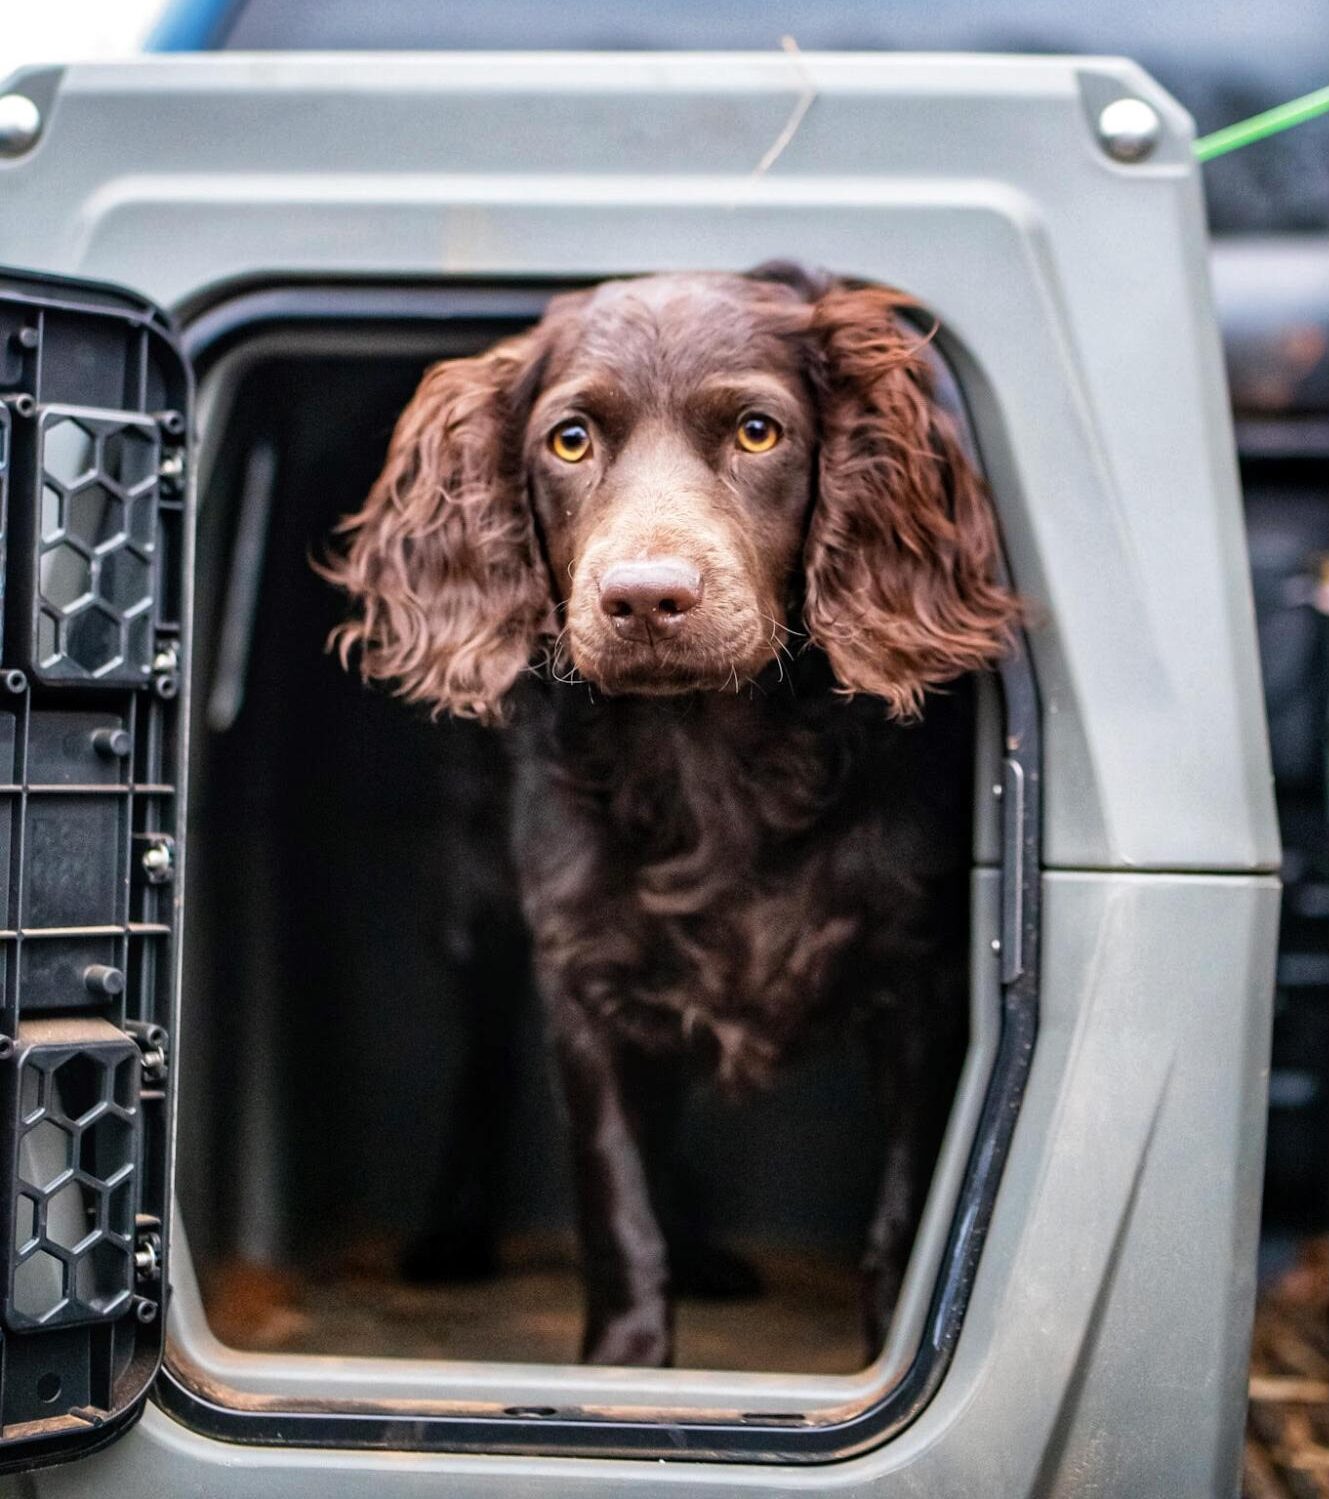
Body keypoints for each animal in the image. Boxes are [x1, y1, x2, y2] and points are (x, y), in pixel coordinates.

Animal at [325, 263, 1018, 1367]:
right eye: (569, 440)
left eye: (758, 431)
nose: (646, 599)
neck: (708, 752)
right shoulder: (586, 977)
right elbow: (617, 1194)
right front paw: (624, 1365)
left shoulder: (922, 983)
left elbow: (904, 1207)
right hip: (479, 895)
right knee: (485, 1061)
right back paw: (455, 1233)